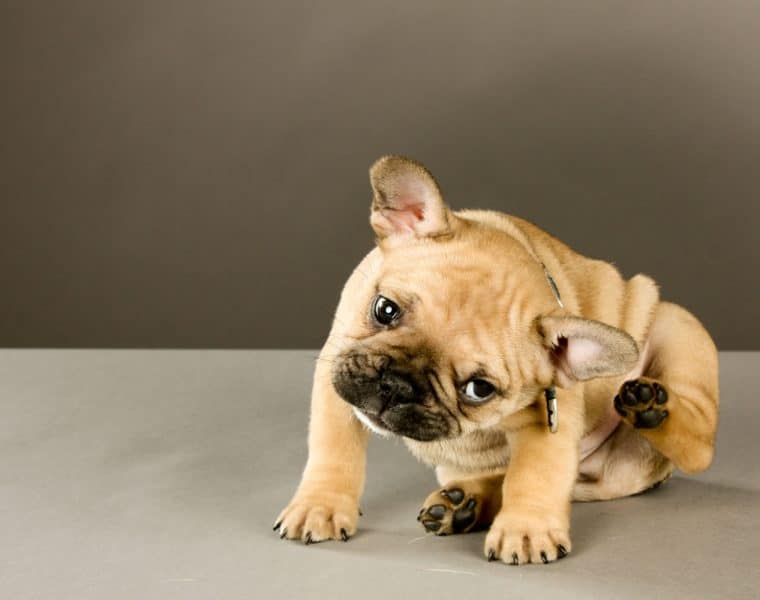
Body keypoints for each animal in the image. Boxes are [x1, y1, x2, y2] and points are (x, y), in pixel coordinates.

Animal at [274, 157, 720, 564]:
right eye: (384, 310)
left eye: (478, 389)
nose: (397, 385)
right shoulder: (339, 365)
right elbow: (334, 448)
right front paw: (320, 505)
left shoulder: (550, 416)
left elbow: (533, 474)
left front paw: (527, 530)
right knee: (497, 479)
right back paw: (463, 505)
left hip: (678, 329)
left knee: (698, 446)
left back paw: (650, 407)